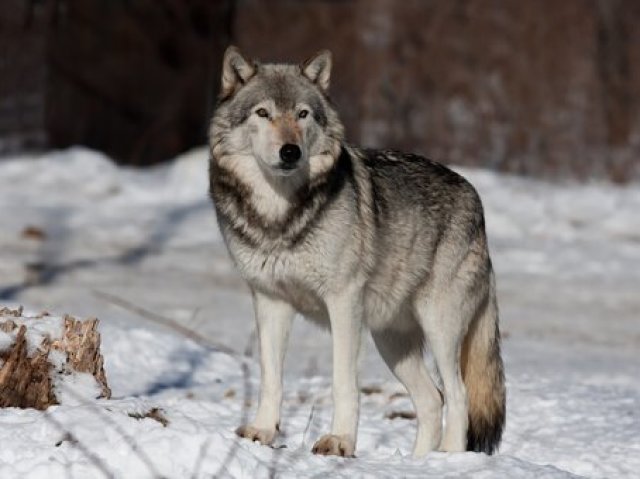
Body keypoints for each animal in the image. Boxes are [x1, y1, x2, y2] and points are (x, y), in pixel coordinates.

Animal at [209, 47, 504, 460]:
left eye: (302, 114)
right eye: (263, 113)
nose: (290, 151)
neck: (280, 218)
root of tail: (475, 198)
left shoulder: (343, 301)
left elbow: (342, 381)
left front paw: (340, 441)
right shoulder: (270, 301)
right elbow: (271, 377)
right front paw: (263, 432)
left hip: (439, 327)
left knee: (458, 396)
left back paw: (448, 459)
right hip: (391, 341)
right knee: (433, 400)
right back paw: (419, 463)